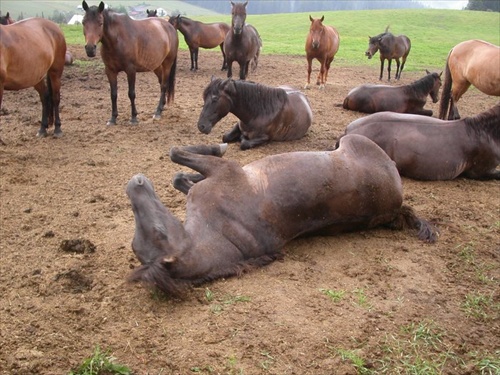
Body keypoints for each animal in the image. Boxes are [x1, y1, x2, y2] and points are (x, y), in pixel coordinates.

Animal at [126, 135, 438, 296]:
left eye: (157, 233)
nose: (135, 183)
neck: (217, 231)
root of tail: (397, 205)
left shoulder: (223, 171)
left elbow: (178, 165)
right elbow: (177, 159)